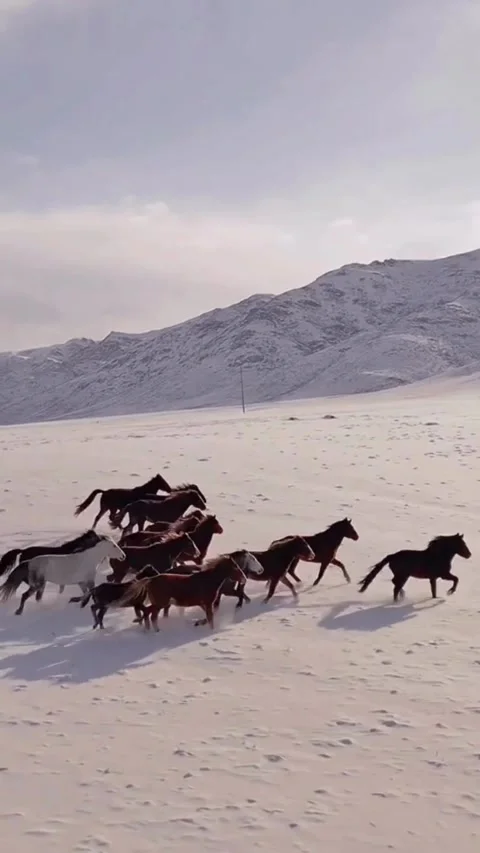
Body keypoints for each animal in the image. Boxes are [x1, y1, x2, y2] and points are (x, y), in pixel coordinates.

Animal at [121, 553, 254, 631]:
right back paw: (155, 630)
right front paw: (211, 629)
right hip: (161, 603)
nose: (244, 578)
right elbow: (210, 618)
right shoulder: (207, 602)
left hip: (160, 603)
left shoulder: (203, 603)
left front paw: (199, 623)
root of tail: (151, 579)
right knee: (150, 613)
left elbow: (208, 617)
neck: (209, 580)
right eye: (235, 567)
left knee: (149, 613)